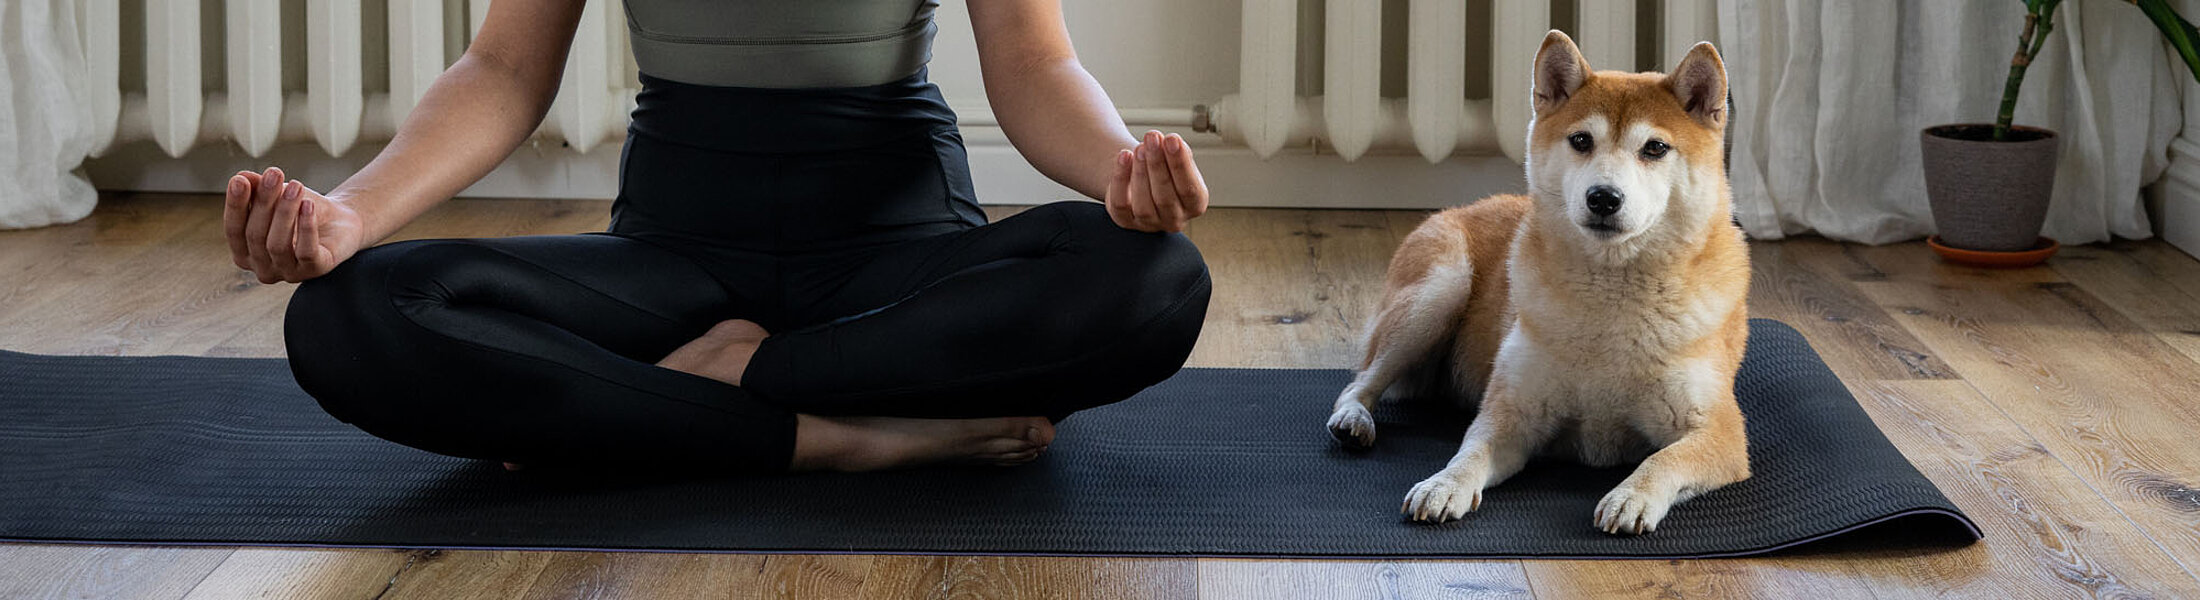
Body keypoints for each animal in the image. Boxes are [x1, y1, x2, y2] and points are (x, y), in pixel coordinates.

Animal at [1320, 30, 1751, 531]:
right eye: (1581, 140)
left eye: (1655, 148)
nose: (1603, 198)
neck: (1612, 300)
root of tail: (1460, 207)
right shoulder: (1511, 413)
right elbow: (1468, 454)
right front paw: (1443, 485)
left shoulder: (1721, 434)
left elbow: (1664, 460)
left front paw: (1632, 495)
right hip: (1438, 292)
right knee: (1359, 382)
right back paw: (1354, 419)